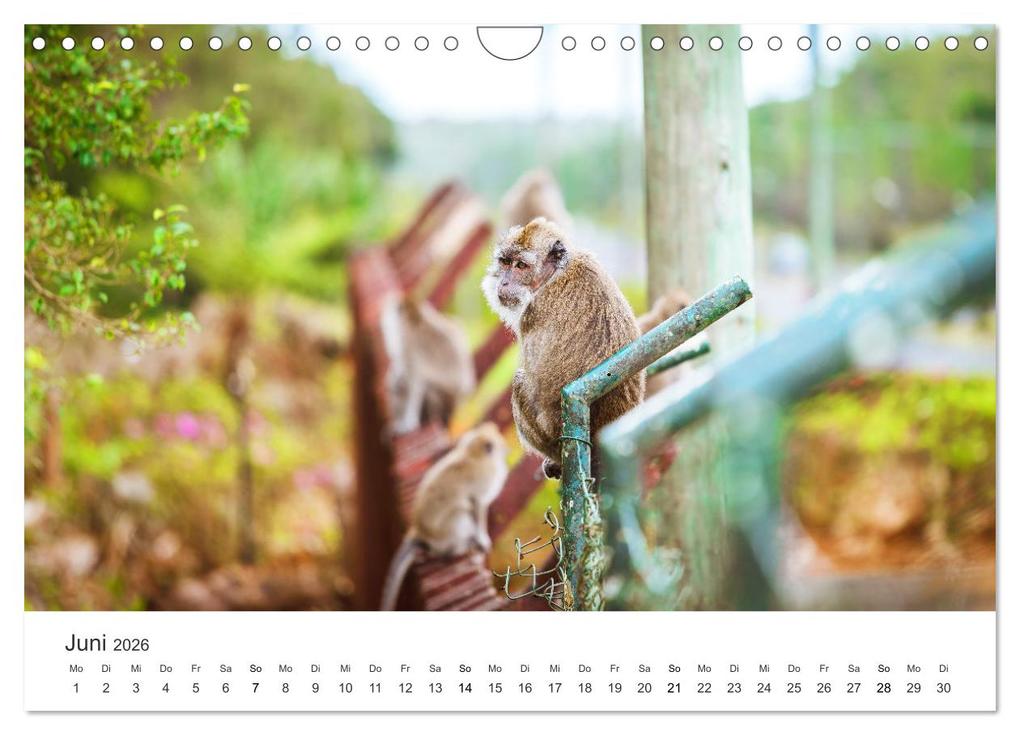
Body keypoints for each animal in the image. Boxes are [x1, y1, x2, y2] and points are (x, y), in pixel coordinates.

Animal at [380, 422, 509, 610]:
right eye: (499, 447)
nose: (506, 451)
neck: (472, 455)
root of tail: (419, 531)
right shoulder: (481, 491)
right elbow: (478, 509)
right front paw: (482, 539)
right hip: (449, 529)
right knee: (461, 515)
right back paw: (459, 547)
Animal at [481, 217, 644, 480]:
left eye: (521, 265)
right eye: (505, 262)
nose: (504, 282)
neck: (555, 274)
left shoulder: (531, 313)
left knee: (519, 382)